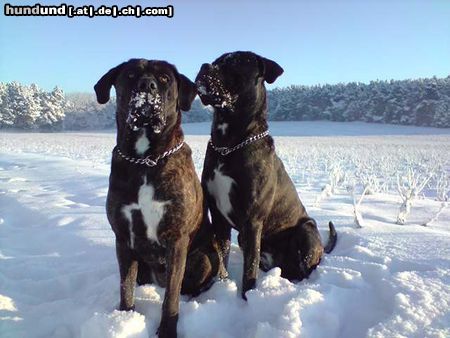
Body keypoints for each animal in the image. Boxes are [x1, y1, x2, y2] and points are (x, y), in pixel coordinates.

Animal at [95, 59, 220, 336]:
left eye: (164, 78)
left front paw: (167, 329)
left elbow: (171, 295)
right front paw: (124, 318)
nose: (147, 85)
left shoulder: (176, 239)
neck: (145, 160)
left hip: (203, 259)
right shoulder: (123, 237)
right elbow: (126, 286)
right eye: (131, 74)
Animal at [195, 50, 336, 298]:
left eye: (234, 62)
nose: (204, 67)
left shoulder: (252, 220)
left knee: (305, 268)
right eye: (215, 61)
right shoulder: (218, 216)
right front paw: (222, 285)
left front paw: (246, 298)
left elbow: (249, 270)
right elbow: (222, 257)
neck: (228, 144)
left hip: (306, 231)